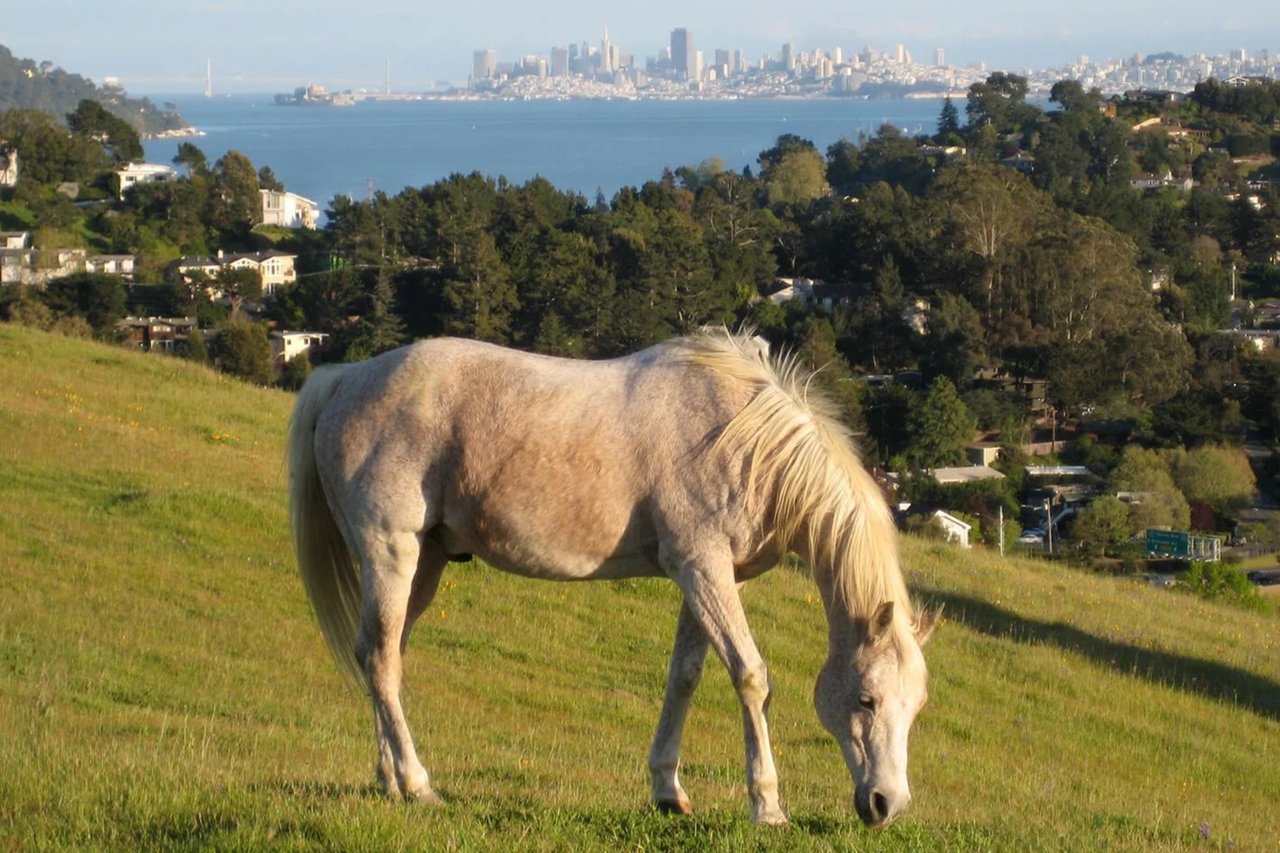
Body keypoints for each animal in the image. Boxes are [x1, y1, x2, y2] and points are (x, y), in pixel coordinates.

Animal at [287, 328, 940, 827]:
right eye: (866, 699)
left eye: (915, 708)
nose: (887, 804)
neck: (744, 438)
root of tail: (346, 377)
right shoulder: (702, 566)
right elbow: (750, 677)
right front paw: (767, 807)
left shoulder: (710, 577)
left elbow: (685, 677)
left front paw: (668, 791)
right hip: (390, 552)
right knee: (380, 658)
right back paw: (419, 784)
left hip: (424, 564)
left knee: (382, 655)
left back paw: (389, 780)